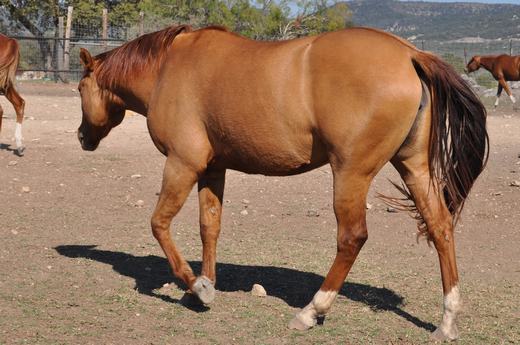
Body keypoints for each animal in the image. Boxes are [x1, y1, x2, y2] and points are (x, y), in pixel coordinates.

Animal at [76, 25, 488, 340]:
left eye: (80, 90)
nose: (82, 137)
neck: (168, 67)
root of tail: (410, 54)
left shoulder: (182, 164)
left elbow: (159, 224)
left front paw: (196, 287)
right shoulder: (212, 169)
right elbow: (210, 226)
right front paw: (206, 284)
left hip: (350, 174)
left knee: (352, 238)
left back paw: (312, 310)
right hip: (413, 168)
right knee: (440, 227)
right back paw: (447, 320)